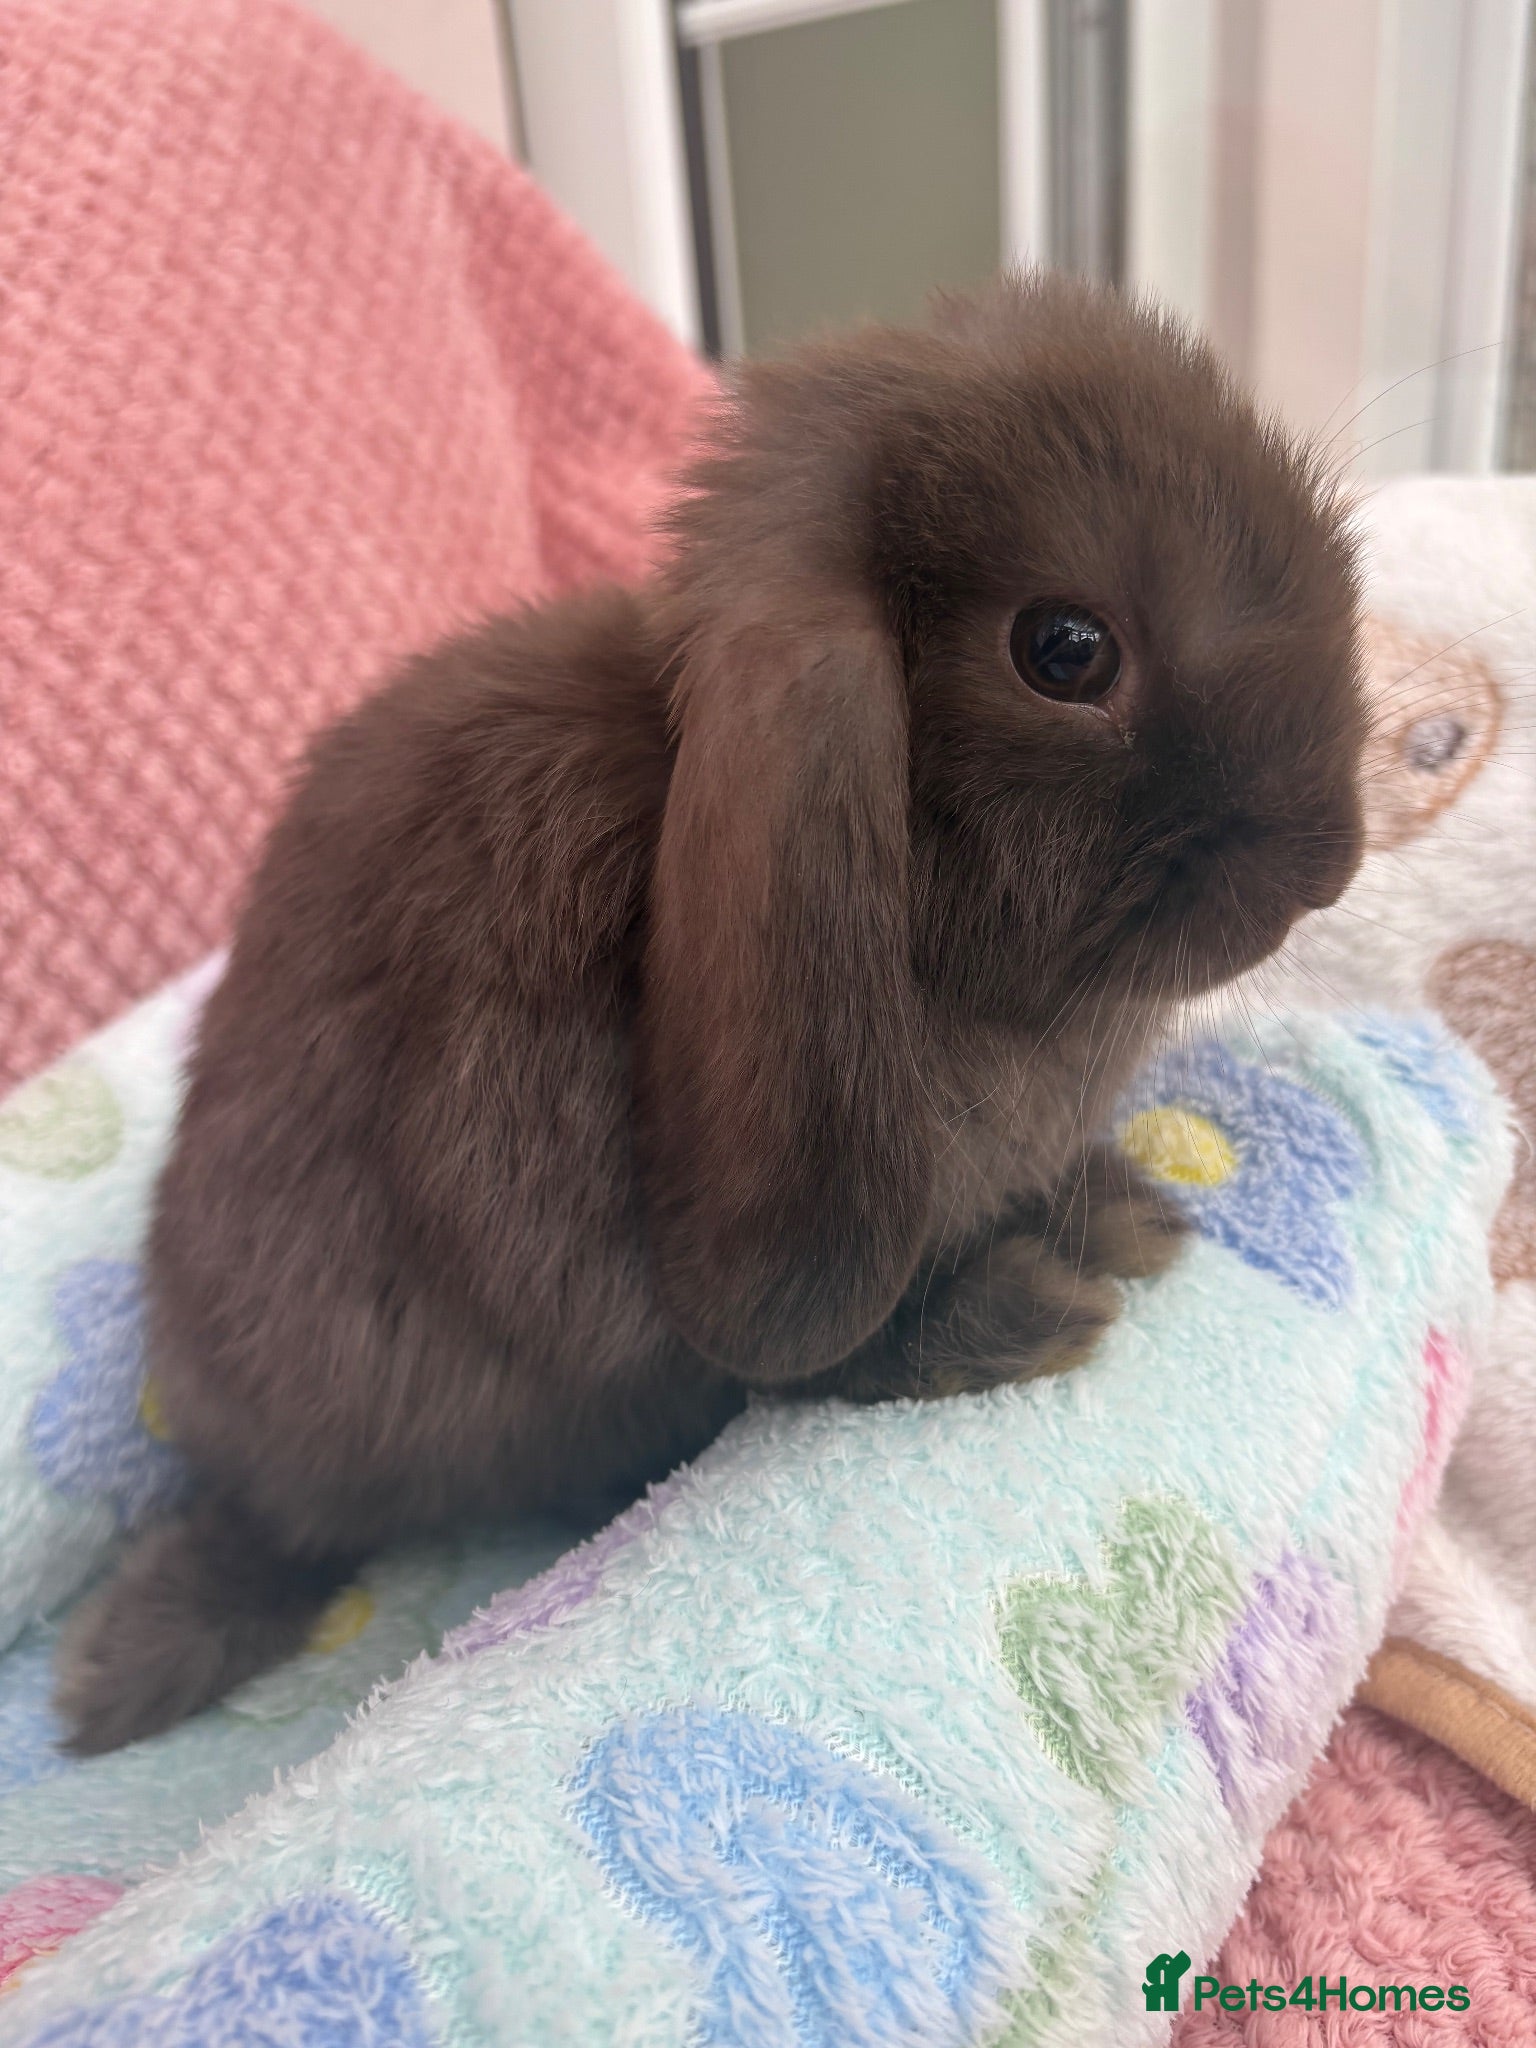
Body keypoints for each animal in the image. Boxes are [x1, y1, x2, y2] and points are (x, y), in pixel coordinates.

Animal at [55, 273, 1366, 1753]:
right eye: (1066, 650)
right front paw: (1049, 1296)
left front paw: (1126, 1207)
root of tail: (263, 1486)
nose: (1327, 864)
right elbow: (809, 1359)